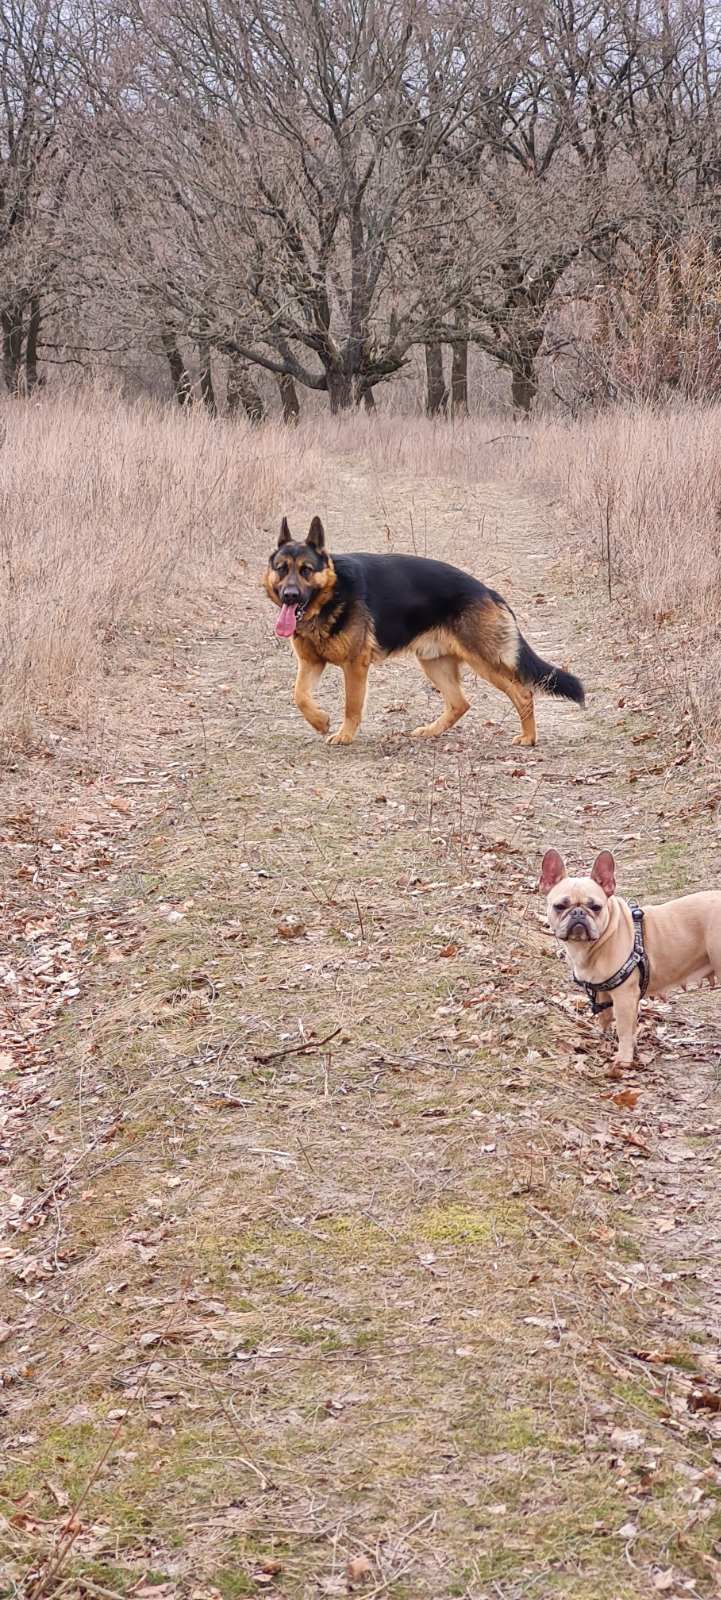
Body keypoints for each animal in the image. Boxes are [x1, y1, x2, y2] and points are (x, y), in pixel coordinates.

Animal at [265, 521, 588, 752]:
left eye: (306, 570)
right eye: (281, 569)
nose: (290, 595)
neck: (331, 597)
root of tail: (489, 591)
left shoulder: (355, 666)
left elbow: (351, 705)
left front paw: (344, 735)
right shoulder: (311, 663)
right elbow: (299, 695)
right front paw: (320, 722)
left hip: (484, 662)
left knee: (523, 693)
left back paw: (528, 738)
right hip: (434, 663)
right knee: (460, 704)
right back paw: (431, 731)